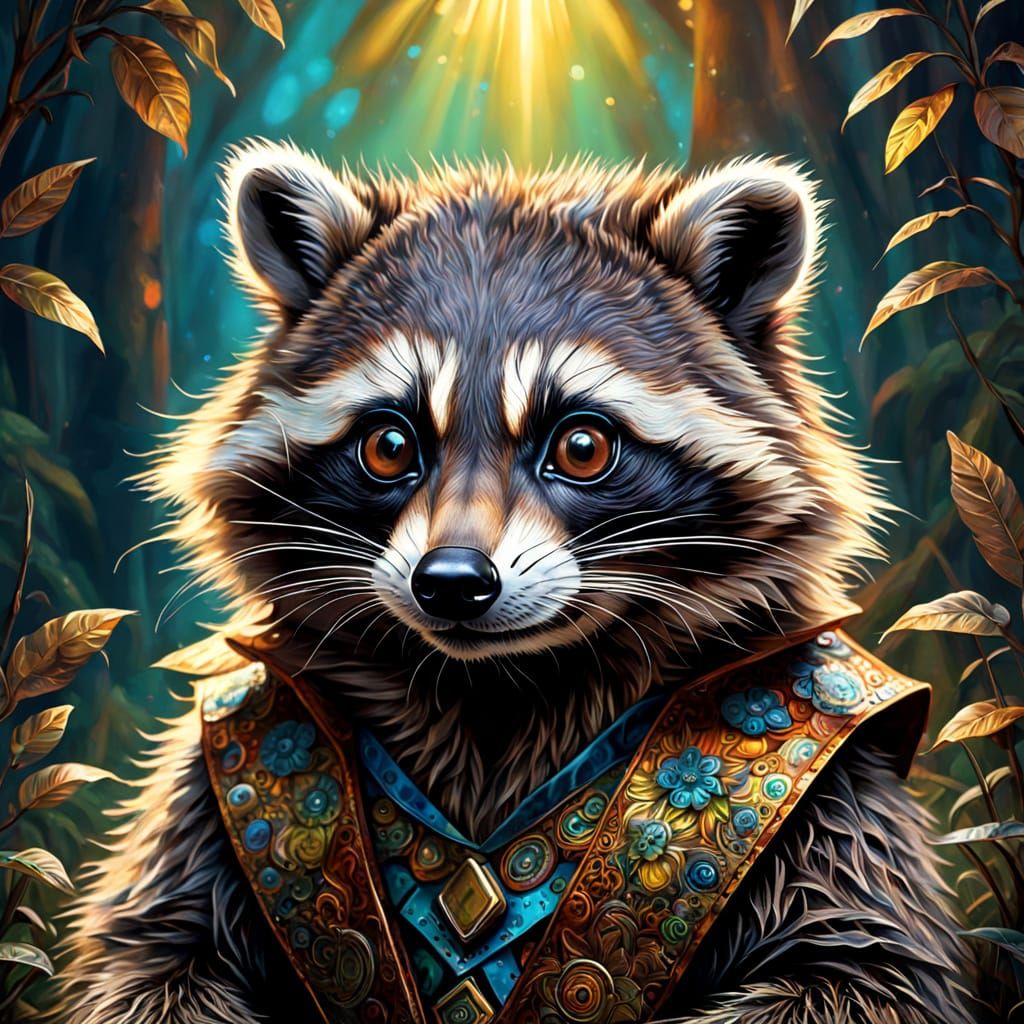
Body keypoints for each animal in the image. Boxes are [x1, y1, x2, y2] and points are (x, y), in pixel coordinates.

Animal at [57, 142, 974, 1024]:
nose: (453, 583)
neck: (498, 688)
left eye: (582, 446)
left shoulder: (835, 798)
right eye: (389, 445)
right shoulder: (219, 778)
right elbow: (156, 962)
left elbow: (858, 971)